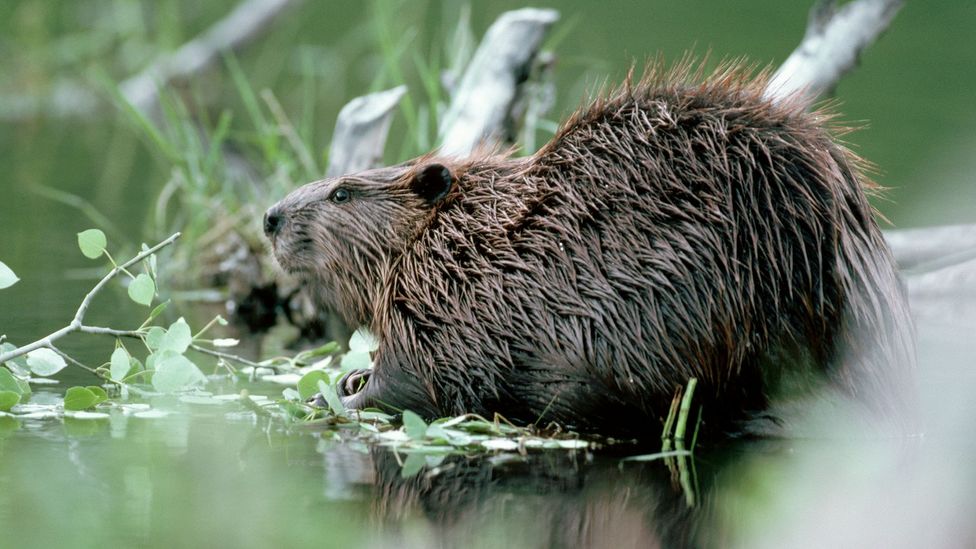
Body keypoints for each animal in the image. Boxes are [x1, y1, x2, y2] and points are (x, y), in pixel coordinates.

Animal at [262, 61, 916, 436]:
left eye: (343, 191)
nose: (269, 216)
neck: (462, 236)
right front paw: (347, 377)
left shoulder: (446, 305)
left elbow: (419, 382)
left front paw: (336, 397)